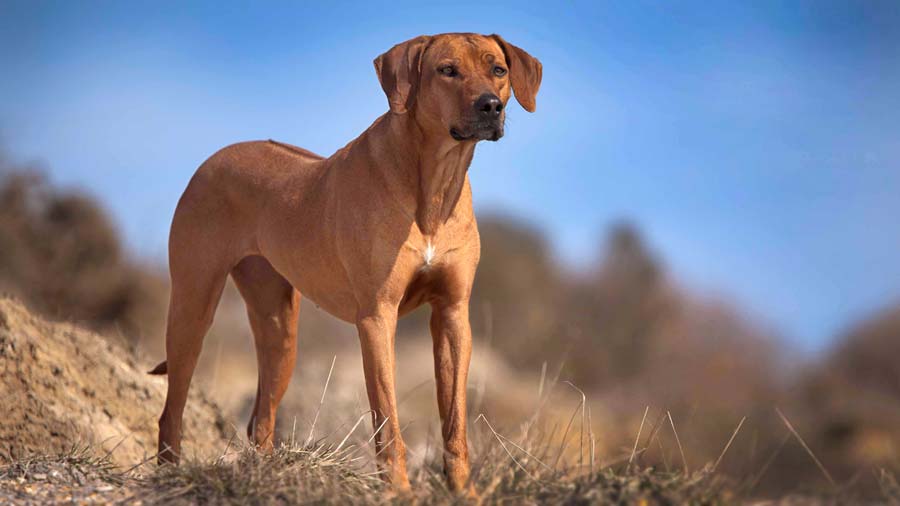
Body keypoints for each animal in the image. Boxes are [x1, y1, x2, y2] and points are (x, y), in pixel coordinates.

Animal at [149, 33, 540, 492]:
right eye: (447, 70)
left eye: (498, 70)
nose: (490, 106)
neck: (435, 183)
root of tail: (213, 159)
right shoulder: (377, 317)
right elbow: (387, 421)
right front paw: (399, 492)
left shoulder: (453, 314)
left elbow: (455, 420)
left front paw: (464, 492)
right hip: (193, 307)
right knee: (172, 411)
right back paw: (171, 475)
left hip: (280, 332)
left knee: (261, 419)